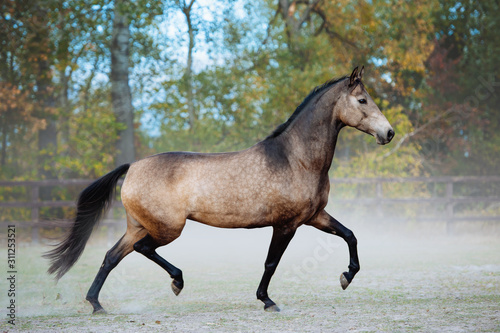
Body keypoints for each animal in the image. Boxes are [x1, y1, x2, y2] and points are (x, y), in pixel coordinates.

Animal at [45, 66, 394, 312]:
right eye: (362, 100)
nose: (388, 133)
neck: (296, 159)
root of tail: (132, 167)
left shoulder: (314, 216)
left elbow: (350, 235)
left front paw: (346, 277)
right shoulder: (286, 224)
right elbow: (271, 263)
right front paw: (267, 300)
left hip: (138, 225)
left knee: (111, 257)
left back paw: (96, 304)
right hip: (167, 228)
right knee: (143, 249)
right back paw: (176, 282)